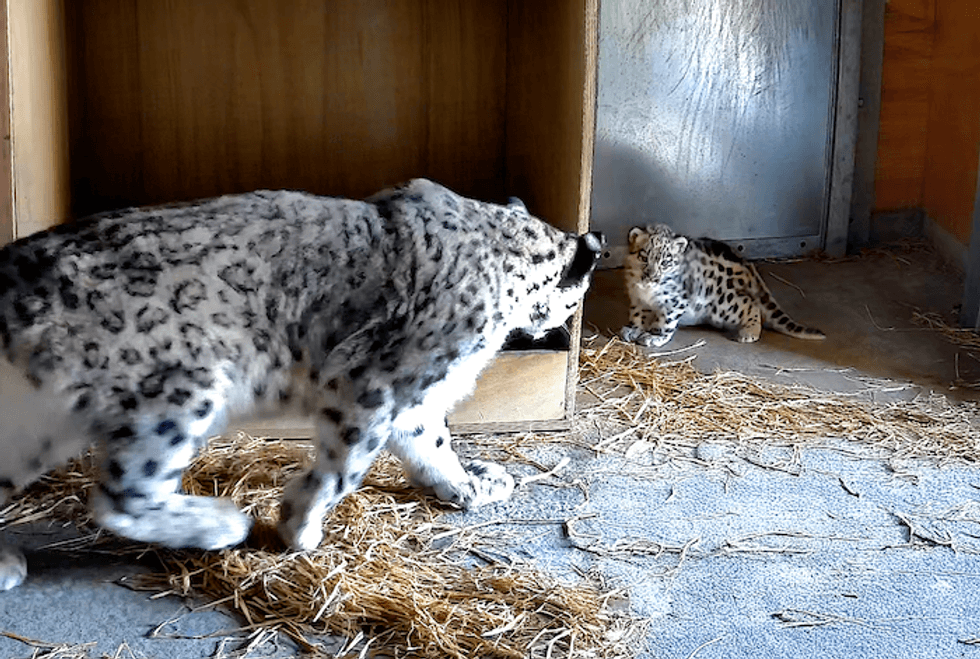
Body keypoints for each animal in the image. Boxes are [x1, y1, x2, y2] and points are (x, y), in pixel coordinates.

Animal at [0, 178, 603, 591]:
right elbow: (345, 468)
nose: (563, 324)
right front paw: (298, 526)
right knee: (123, 496)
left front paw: (468, 484)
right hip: (179, 391)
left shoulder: (416, 396)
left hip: (35, 427)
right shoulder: (373, 386)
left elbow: (433, 444)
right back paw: (220, 524)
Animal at [620, 224, 825, 348]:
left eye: (666, 262)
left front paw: (655, 337)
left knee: (751, 304)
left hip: (723, 305)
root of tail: (746, 264)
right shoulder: (636, 298)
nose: (652, 277)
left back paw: (749, 332)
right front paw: (632, 329)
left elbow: (666, 321)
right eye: (644, 256)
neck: (645, 290)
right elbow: (637, 315)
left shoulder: (675, 300)